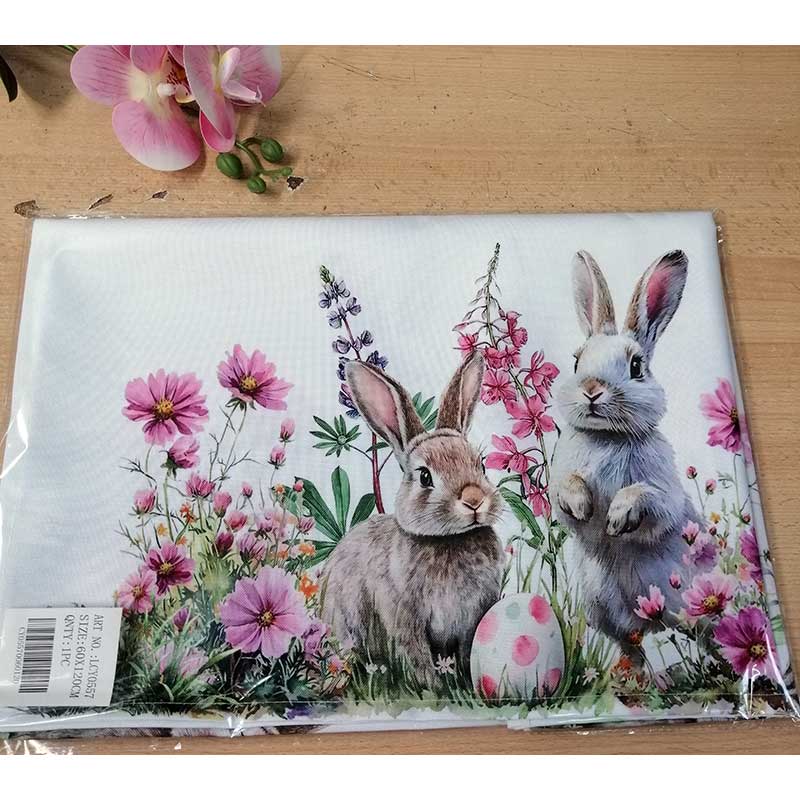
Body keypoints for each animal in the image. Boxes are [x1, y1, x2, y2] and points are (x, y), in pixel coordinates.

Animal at [320, 351, 504, 686]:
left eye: (481, 465)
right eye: (424, 476)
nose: (473, 500)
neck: (449, 540)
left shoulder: (475, 615)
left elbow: (468, 650)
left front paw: (465, 682)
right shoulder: (403, 616)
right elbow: (415, 653)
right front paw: (433, 687)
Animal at [551, 249, 702, 655]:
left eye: (636, 367)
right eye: (576, 361)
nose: (591, 389)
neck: (608, 438)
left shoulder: (664, 492)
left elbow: (646, 497)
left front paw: (617, 519)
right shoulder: (561, 482)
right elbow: (568, 490)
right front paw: (584, 505)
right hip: (601, 607)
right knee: (630, 649)